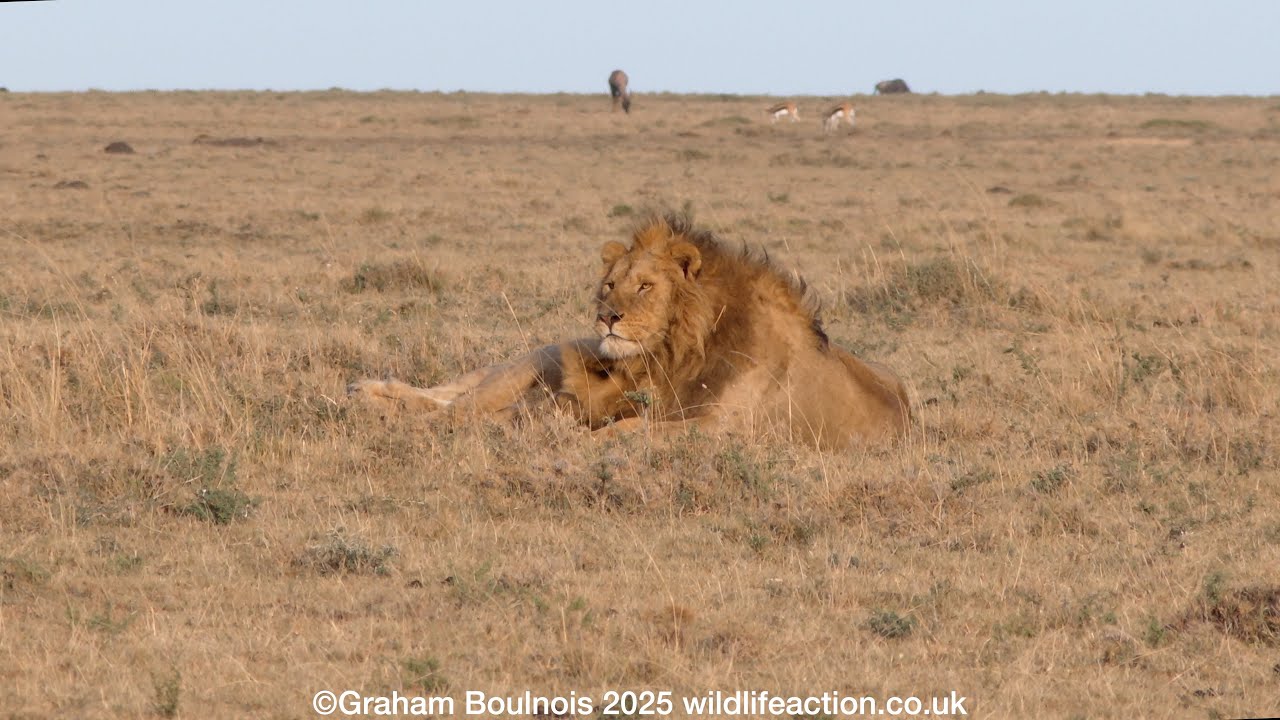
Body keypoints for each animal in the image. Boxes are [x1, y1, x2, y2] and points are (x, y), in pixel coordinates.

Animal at [347, 213, 910, 449]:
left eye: (643, 286)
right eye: (610, 284)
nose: (607, 317)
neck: (686, 347)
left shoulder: (728, 426)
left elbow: (630, 427)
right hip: (533, 359)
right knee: (455, 402)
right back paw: (372, 397)